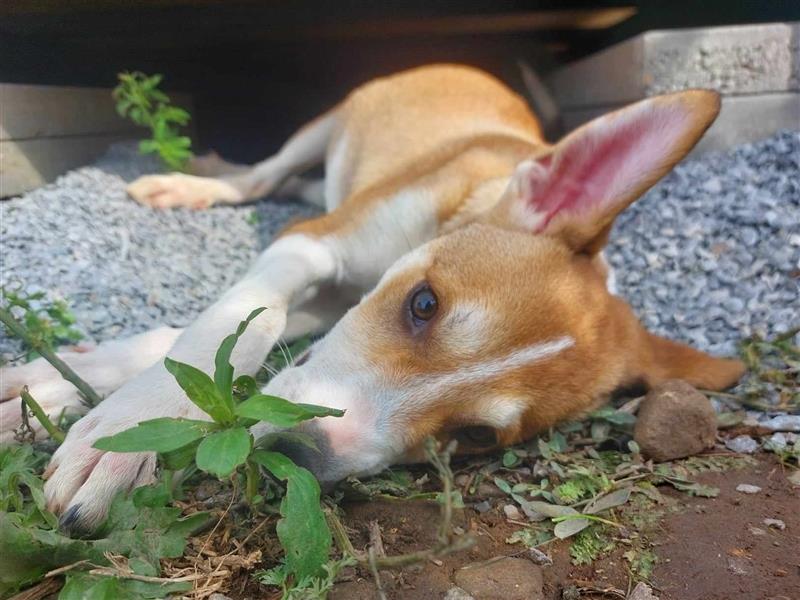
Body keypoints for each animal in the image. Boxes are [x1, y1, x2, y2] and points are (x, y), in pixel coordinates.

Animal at [0, 65, 744, 532]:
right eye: (424, 304)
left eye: (474, 437)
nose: (302, 455)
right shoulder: (306, 246)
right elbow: (235, 325)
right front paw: (127, 437)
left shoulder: (328, 303)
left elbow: (199, 338)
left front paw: (49, 393)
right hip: (327, 125)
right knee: (267, 176)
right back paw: (191, 183)